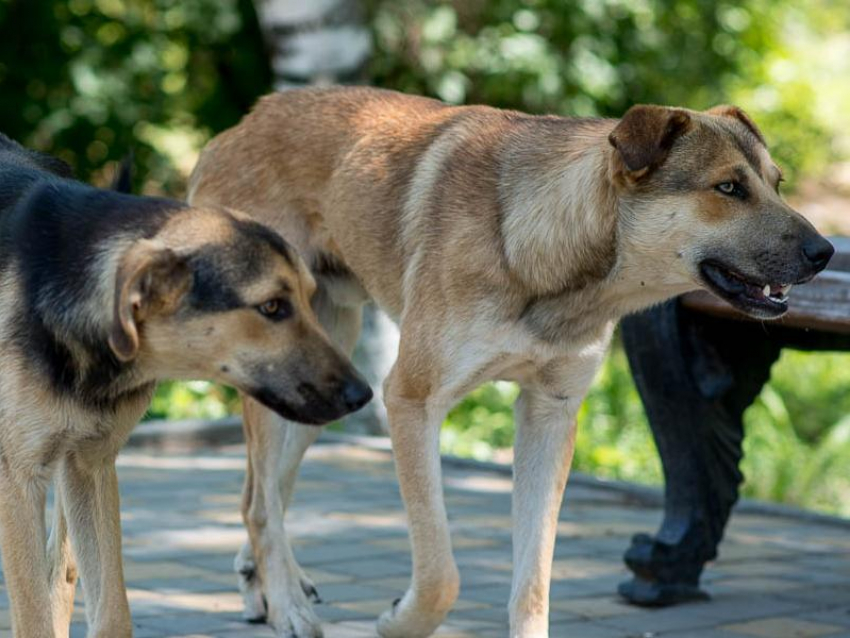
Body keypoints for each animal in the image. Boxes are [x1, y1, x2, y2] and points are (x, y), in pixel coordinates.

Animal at [0, 135, 372, 638]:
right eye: (272, 307)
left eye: (308, 299)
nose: (363, 396)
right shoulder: (19, 478)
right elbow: (33, 612)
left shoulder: (90, 462)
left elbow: (110, 611)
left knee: (61, 569)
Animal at [189, 86, 832, 638]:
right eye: (728, 188)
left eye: (776, 184)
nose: (825, 252)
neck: (539, 253)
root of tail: (236, 128)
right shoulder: (410, 401)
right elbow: (440, 574)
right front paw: (398, 621)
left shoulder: (550, 415)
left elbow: (534, 577)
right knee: (261, 506)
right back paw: (288, 608)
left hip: (322, 376)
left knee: (260, 496)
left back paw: (263, 586)